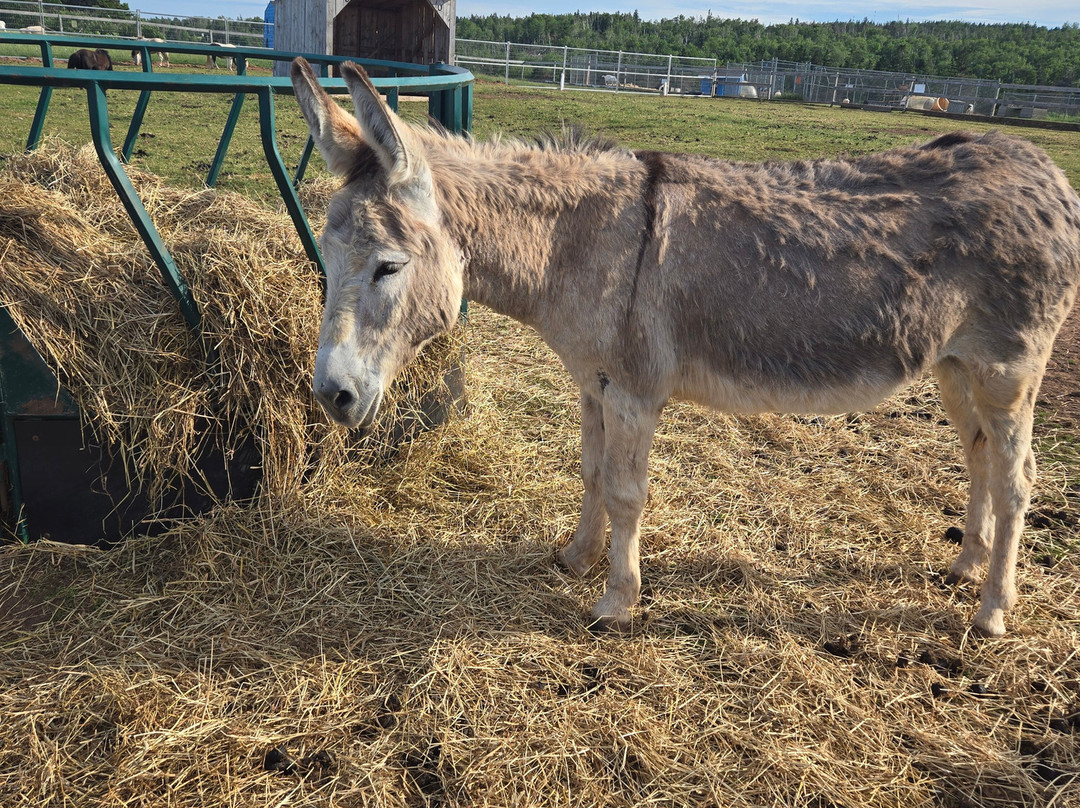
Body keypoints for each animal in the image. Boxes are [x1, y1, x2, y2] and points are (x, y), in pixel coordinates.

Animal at [288, 57, 1080, 637]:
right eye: (329, 254)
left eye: (388, 266)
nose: (331, 395)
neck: (577, 244)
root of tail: (1043, 168)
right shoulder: (593, 382)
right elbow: (589, 472)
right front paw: (576, 558)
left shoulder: (636, 391)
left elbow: (625, 490)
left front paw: (616, 601)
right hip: (953, 363)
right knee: (979, 455)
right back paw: (966, 566)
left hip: (1008, 369)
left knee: (1018, 478)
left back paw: (993, 611)